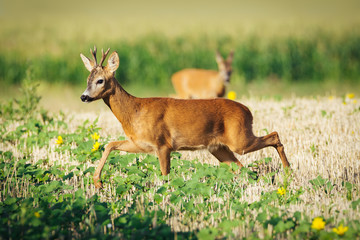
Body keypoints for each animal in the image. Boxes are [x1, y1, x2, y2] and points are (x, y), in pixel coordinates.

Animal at [79, 47, 290, 189]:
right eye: (87, 80)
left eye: (100, 80)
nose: (84, 97)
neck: (134, 112)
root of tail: (248, 111)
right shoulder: (140, 143)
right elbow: (110, 145)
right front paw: (97, 182)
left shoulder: (163, 144)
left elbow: (165, 175)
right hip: (219, 147)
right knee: (240, 166)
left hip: (239, 139)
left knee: (274, 135)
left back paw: (288, 171)